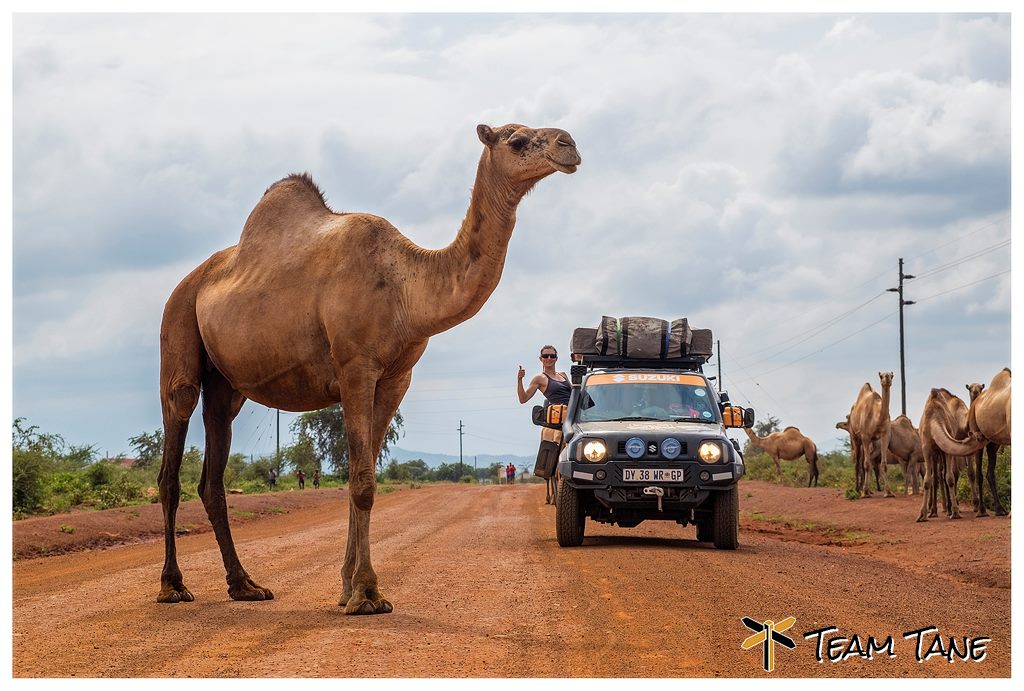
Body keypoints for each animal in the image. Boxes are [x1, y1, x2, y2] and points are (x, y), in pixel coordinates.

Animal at [155, 121, 581, 614]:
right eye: (517, 140)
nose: (569, 144)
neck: (406, 289)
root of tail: (187, 282)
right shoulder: (355, 366)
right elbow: (361, 482)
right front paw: (365, 593)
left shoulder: (396, 377)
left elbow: (363, 475)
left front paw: (347, 588)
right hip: (178, 324)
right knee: (173, 449)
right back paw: (173, 586)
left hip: (226, 384)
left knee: (213, 470)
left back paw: (245, 585)